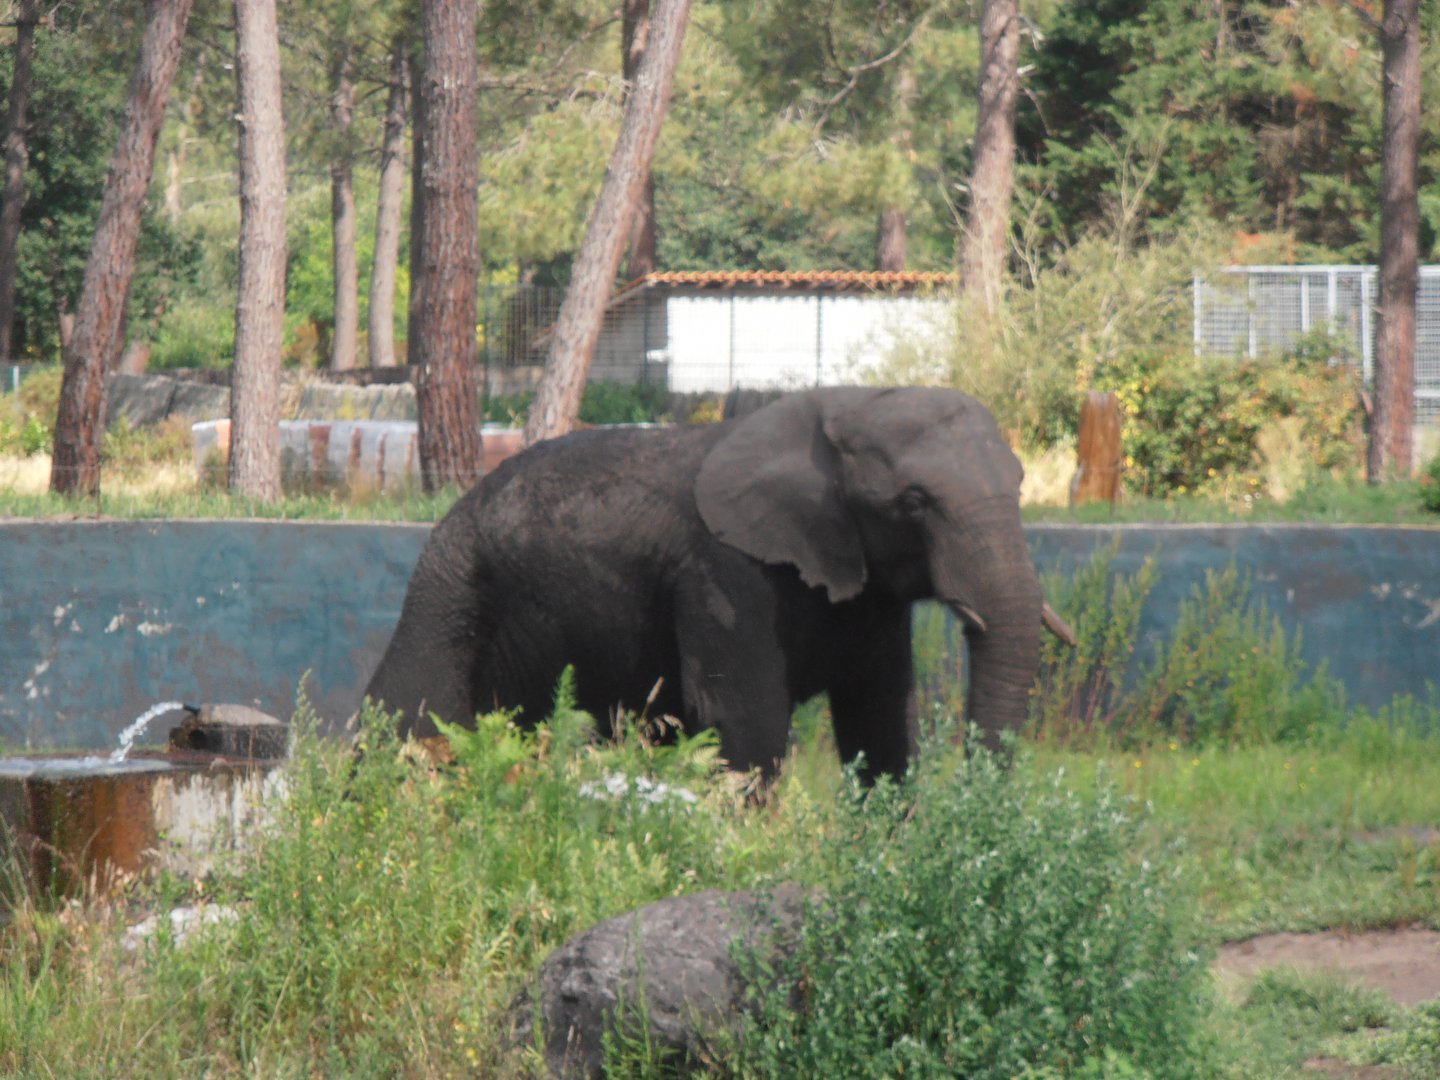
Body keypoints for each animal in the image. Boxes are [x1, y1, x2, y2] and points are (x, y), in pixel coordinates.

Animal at [364, 386, 1060, 782]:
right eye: (914, 503)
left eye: (1022, 484)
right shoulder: (723, 571)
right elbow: (746, 721)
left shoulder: (868, 590)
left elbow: (879, 718)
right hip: (448, 589)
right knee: (405, 717)